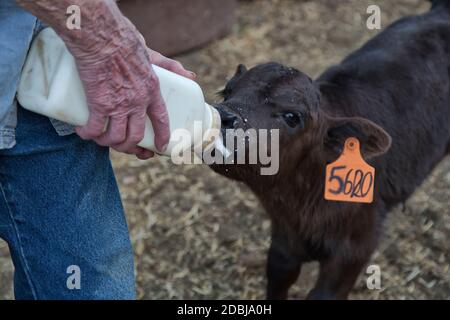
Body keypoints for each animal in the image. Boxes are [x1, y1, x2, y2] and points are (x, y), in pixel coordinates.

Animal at [211, 0, 450, 300]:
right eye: (227, 91)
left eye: (292, 116)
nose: (222, 117)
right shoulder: (284, 238)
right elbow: (278, 275)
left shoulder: (356, 245)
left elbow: (324, 294)